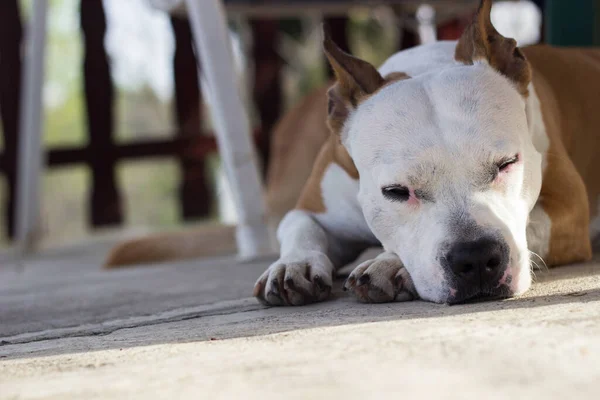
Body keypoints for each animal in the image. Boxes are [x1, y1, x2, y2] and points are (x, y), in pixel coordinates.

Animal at [108, 0, 600, 306]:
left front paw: (392, 264)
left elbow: (530, 224)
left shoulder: (569, 213)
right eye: (396, 192)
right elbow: (300, 226)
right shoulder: (317, 202)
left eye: (507, 164)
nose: (476, 258)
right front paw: (293, 264)